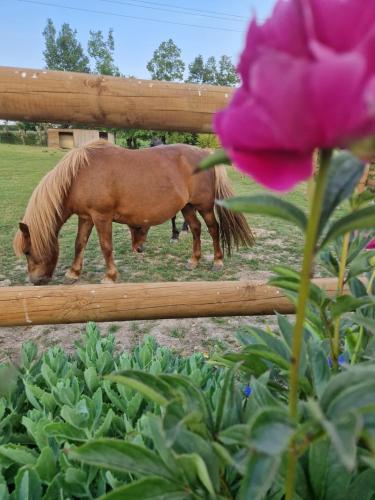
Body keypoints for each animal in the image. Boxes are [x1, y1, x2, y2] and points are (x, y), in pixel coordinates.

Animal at [14, 141, 256, 286]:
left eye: (27, 251)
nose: (35, 281)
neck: (78, 175)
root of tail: (204, 152)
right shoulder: (86, 217)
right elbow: (79, 243)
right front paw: (73, 273)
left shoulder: (101, 216)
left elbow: (106, 246)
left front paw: (110, 276)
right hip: (187, 206)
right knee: (196, 229)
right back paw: (194, 260)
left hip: (204, 206)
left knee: (213, 229)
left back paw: (217, 261)